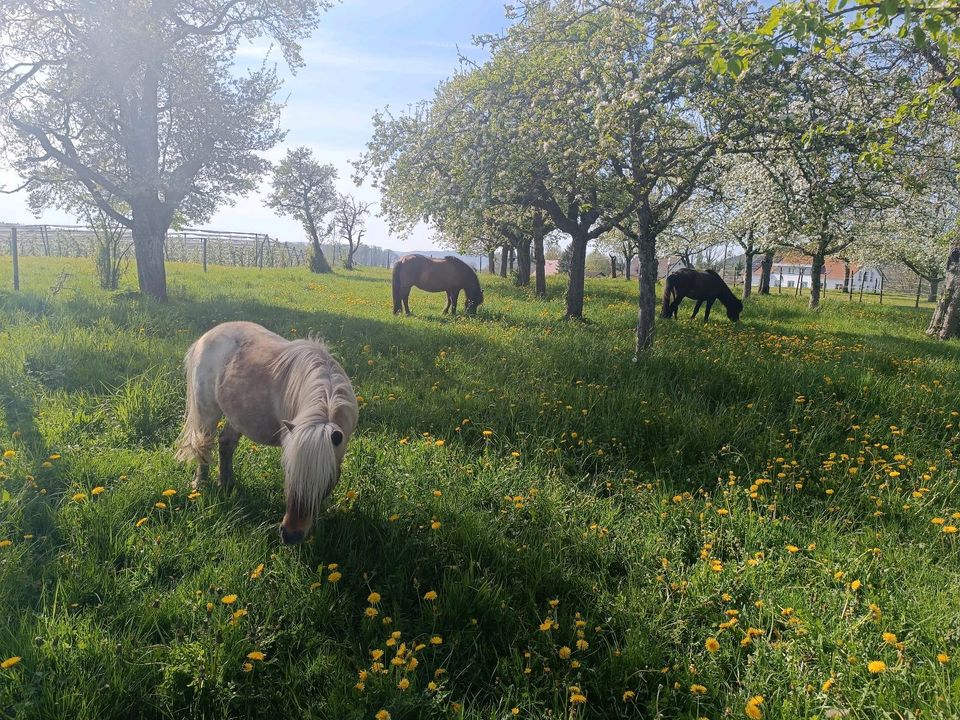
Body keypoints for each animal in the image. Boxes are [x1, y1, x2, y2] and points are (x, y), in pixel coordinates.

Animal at [174, 322, 358, 544]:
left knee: (225, 444)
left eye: (328, 480)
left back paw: (227, 484)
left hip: (237, 416)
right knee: (204, 446)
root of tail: (206, 336)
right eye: (288, 472)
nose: (290, 536)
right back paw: (200, 484)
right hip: (207, 412)